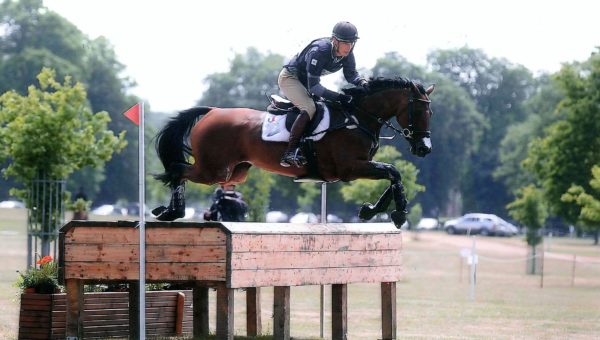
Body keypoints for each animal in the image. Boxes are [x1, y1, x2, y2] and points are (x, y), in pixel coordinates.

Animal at [150, 76, 432, 226]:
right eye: (419, 111)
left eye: (430, 113)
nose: (424, 149)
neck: (358, 117)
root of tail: (212, 111)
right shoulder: (351, 167)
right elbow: (393, 172)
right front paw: (399, 212)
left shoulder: (361, 166)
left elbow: (392, 175)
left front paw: (370, 210)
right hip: (213, 169)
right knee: (178, 170)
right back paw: (172, 212)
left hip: (235, 172)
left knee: (182, 171)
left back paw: (168, 211)